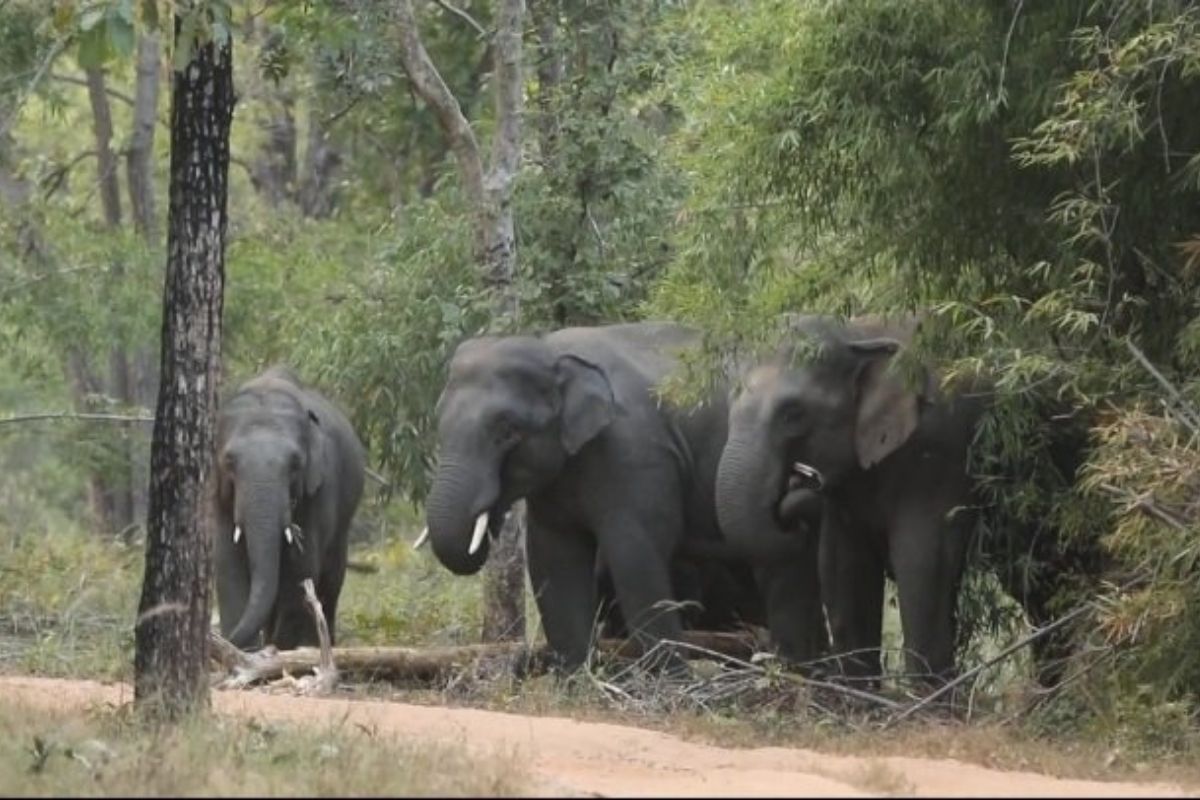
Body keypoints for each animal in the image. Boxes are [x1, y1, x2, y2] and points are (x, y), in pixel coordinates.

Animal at [213, 365, 367, 651]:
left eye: (296, 463)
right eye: (229, 461)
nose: (223, 640)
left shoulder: (320, 488)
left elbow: (301, 568)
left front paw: (282, 649)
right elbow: (228, 563)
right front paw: (248, 652)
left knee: (332, 577)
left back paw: (319, 644)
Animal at [420, 322, 827, 670]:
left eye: (507, 430)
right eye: (437, 421)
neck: (552, 351)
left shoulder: (636, 455)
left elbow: (636, 552)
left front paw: (674, 682)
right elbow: (554, 558)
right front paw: (577, 680)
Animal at [716, 314, 988, 690]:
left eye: (793, 413)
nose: (800, 479)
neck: (857, 336)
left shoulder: (939, 457)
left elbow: (922, 563)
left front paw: (931, 701)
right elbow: (844, 568)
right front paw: (858, 697)